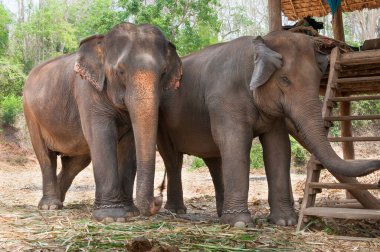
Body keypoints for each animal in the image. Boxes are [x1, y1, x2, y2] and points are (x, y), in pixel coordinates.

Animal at [22, 22, 183, 221]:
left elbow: (129, 144)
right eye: (120, 71)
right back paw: (50, 206)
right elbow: (102, 136)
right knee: (46, 156)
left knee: (75, 162)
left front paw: (130, 212)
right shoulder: (87, 90)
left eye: (163, 73)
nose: (158, 199)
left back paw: (59, 200)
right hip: (31, 114)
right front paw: (111, 217)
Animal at [157, 30, 380, 227]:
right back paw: (176, 211)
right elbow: (235, 144)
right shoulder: (223, 99)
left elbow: (278, 147)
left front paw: (284, 222)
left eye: (318, 80)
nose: (377, 166)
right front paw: (240, 224)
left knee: (213, 160)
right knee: (173, 159)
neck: (260, 43)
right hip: (162, 121)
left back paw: (219, 214)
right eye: (285, 80)